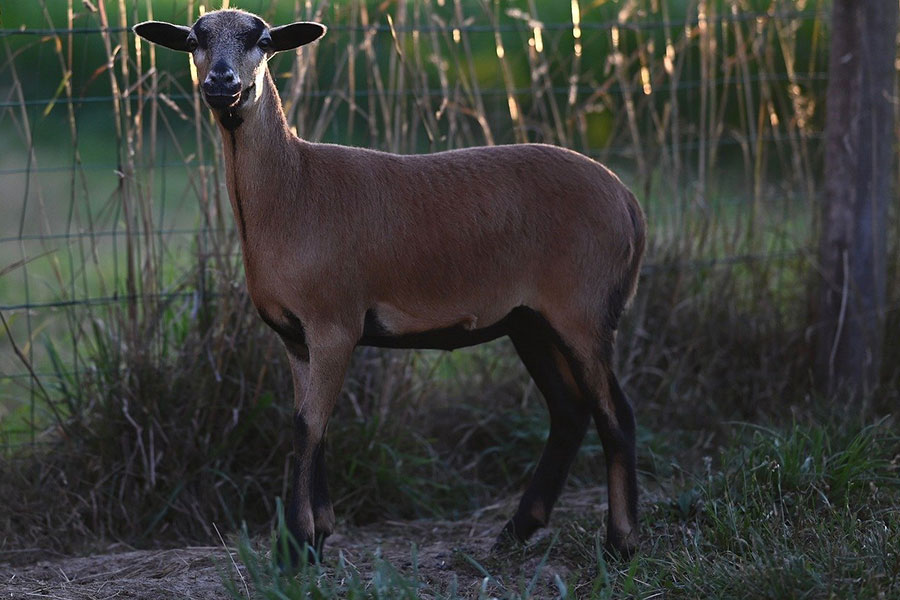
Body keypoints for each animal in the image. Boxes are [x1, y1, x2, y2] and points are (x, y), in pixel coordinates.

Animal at [133, 8, 646, 566]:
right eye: (193, 40)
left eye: (264, 40)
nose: (222, 83)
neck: (293, 189)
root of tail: (627, 200)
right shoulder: (296, 336)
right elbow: (309, 421)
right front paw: (317, 533)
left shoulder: (335, 322)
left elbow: (307, 425)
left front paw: (295, 545)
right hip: (530, 320)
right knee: (570, 411)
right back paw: (514, 532)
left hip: (583, 310)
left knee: (615, 415)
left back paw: (620, 542)